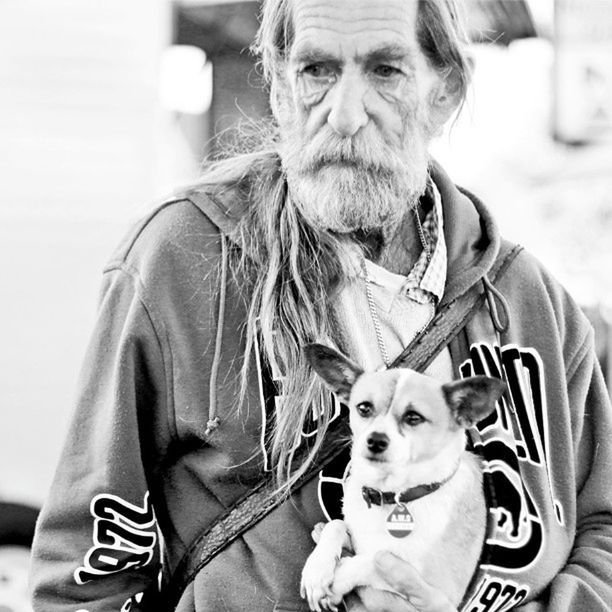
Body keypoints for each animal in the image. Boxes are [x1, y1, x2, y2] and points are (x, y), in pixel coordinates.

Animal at [298, 342, 504, 608]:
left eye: (413, 417)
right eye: (364, 408)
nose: (375, 440)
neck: (389, 494)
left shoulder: (439, 590)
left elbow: (374, 560)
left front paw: (339, 576)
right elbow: (337, 524)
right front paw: (317, 569)